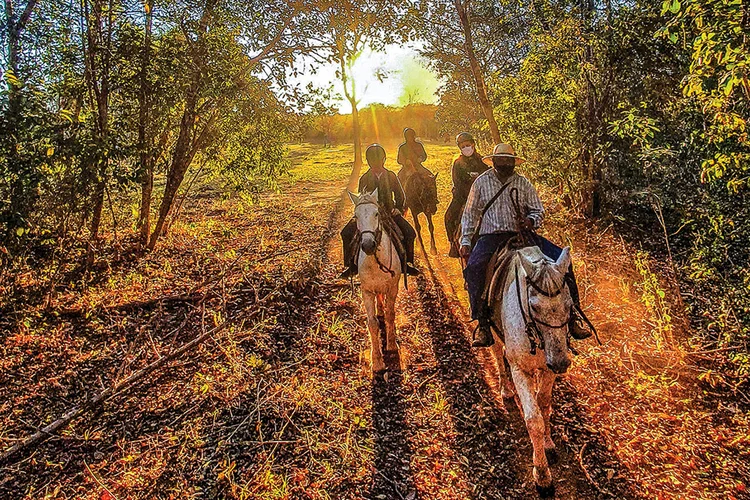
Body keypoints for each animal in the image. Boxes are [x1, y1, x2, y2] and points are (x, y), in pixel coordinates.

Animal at [348, 189, 402, 376]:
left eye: (376, 213)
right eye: (356, 216)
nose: (368, 245)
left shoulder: (393, 288)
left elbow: (391, 314)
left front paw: (392, 345)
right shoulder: (367, 291)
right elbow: (372, 323)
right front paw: (377, 361)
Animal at [488, 245, 576, 496]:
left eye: (570, 304)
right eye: (534, 306)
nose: (560, 362)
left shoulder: (548, 368)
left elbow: (544, 404)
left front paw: (548, 444)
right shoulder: (520, 370)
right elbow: (533, 420)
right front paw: (542, 475)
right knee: (497, 352)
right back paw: (505, 390)